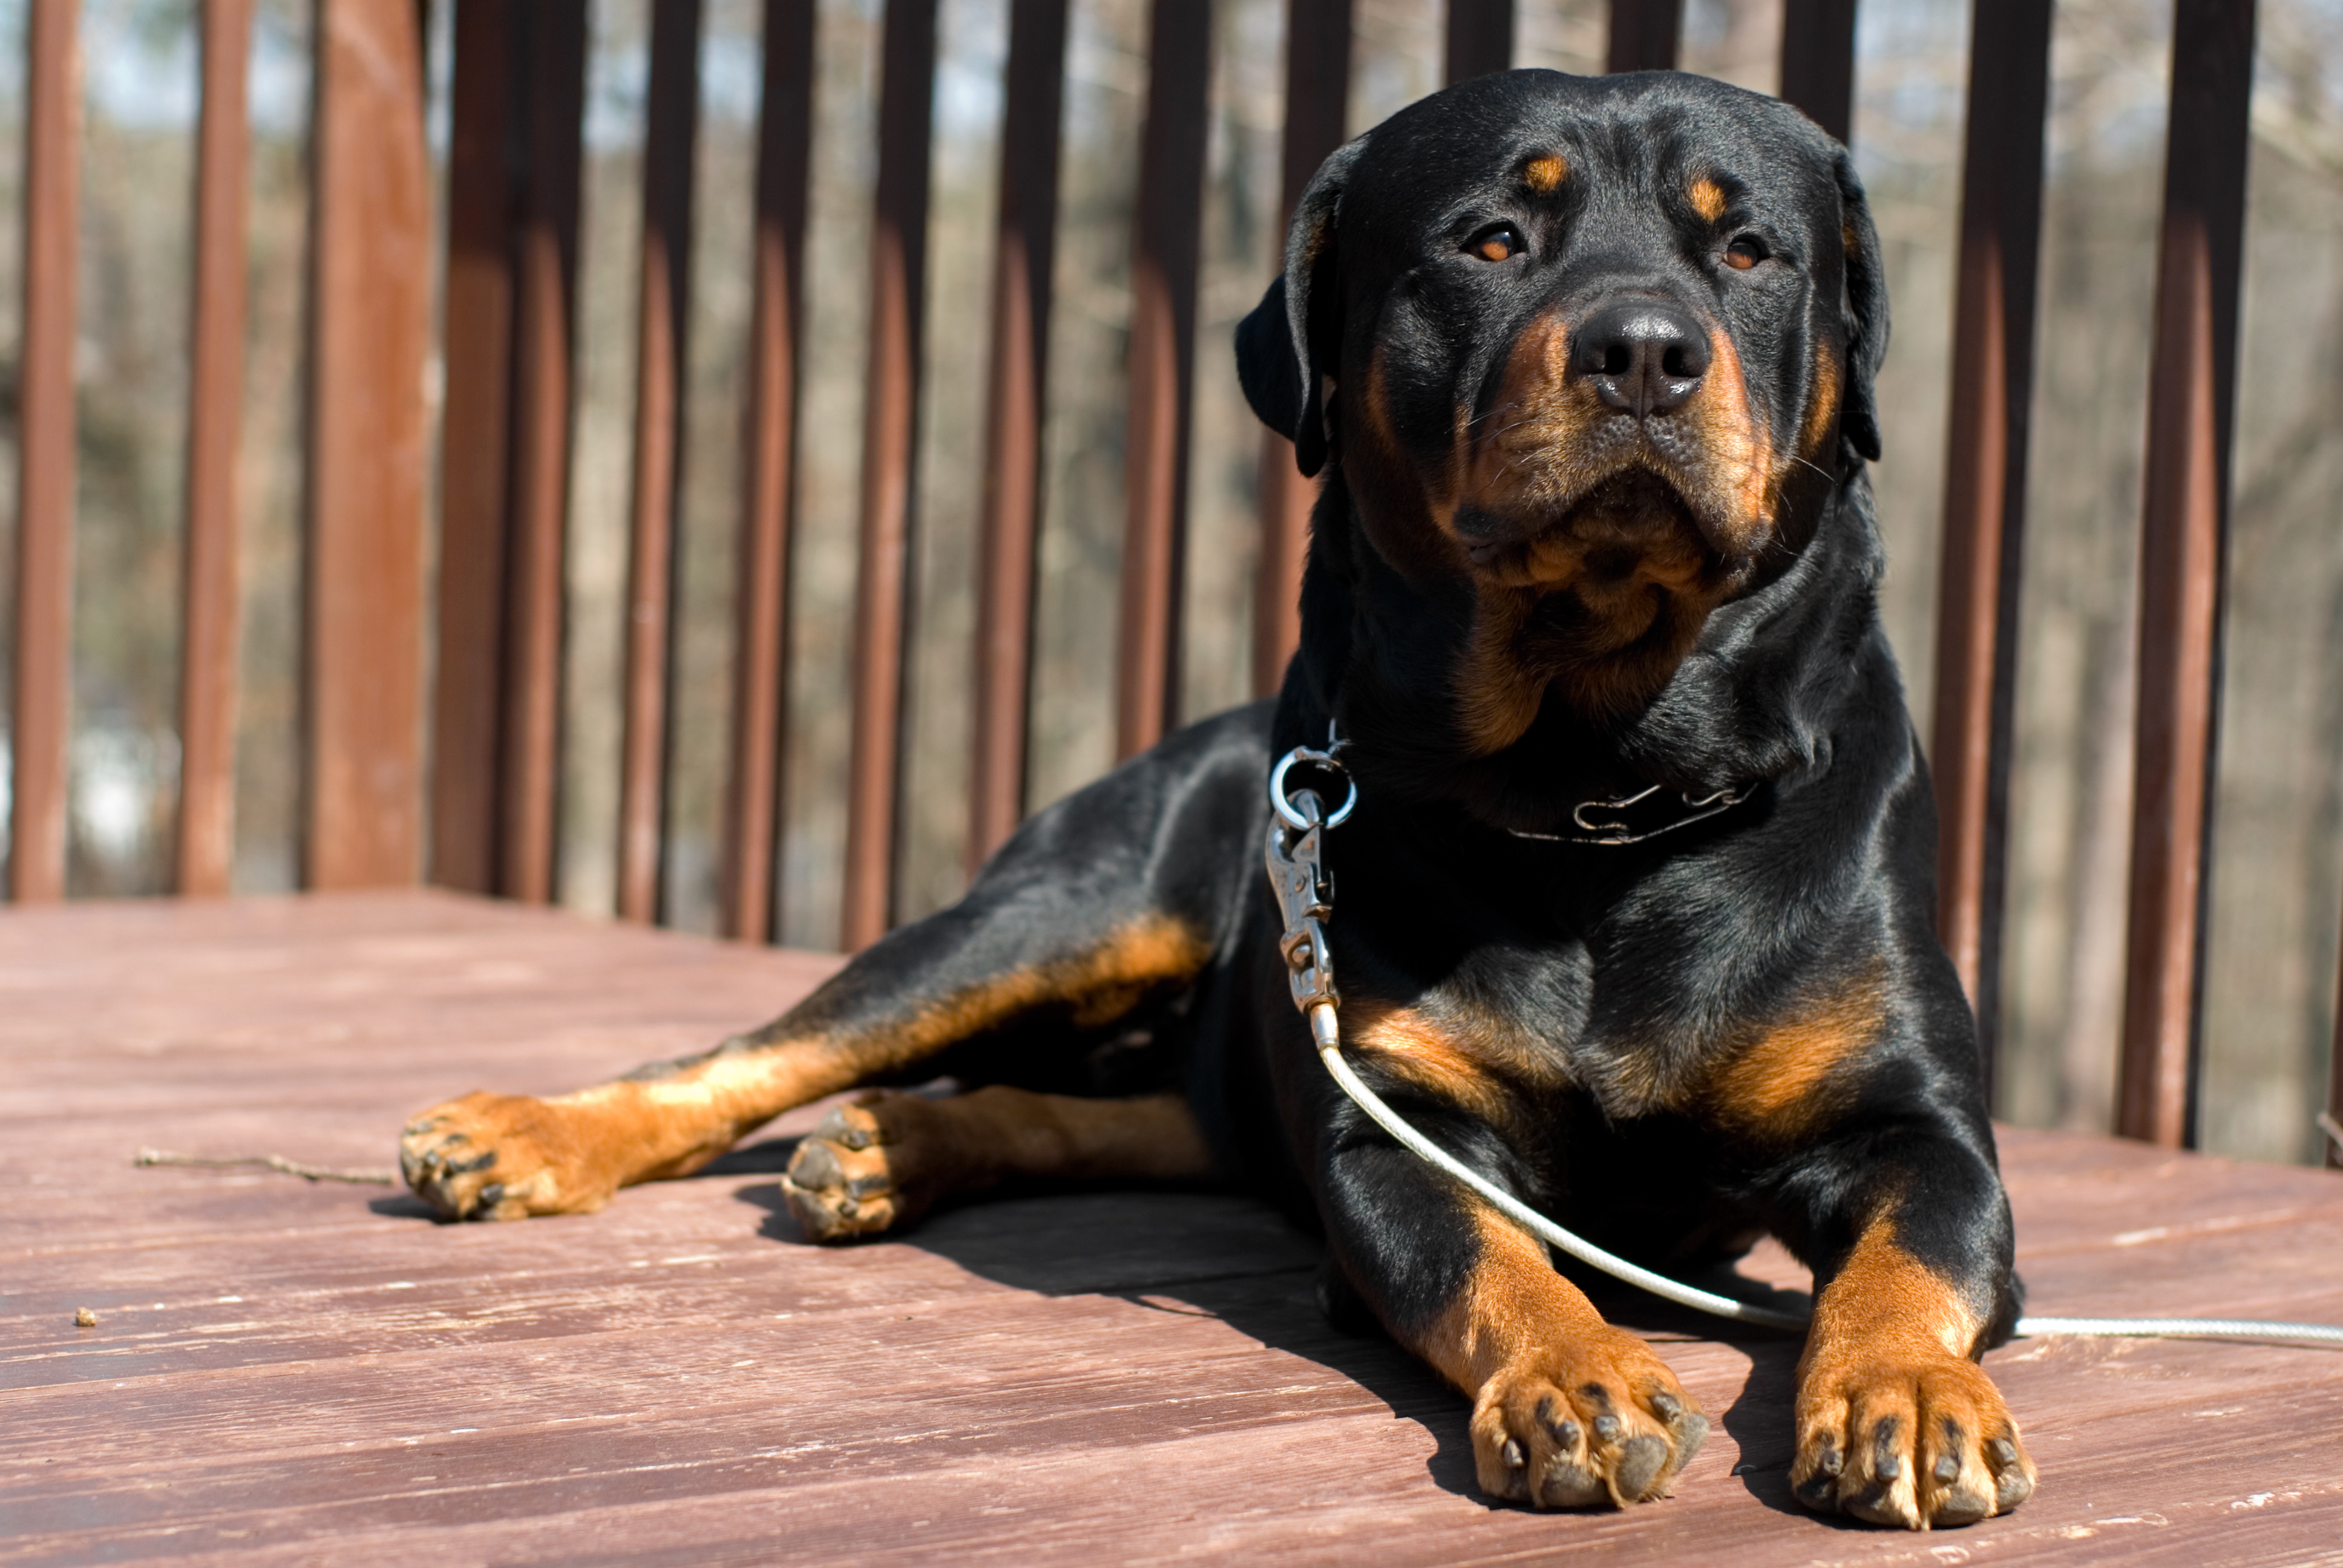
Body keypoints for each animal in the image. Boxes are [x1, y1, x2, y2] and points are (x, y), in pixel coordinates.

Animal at [402, 73, 2033, 1528]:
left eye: (1748, 250)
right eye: (1491, 239)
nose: (1642, 348)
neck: (1602, 795)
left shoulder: (1917, 1128)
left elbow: (1912, 1256)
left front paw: (1904, 1394)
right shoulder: (1393, 1126)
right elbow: (1490, 1261)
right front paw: (1578, 1376)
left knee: (1135, 1116)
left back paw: (893, 1148)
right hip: (1056, 916)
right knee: (760, 1052)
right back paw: (530, 1136)